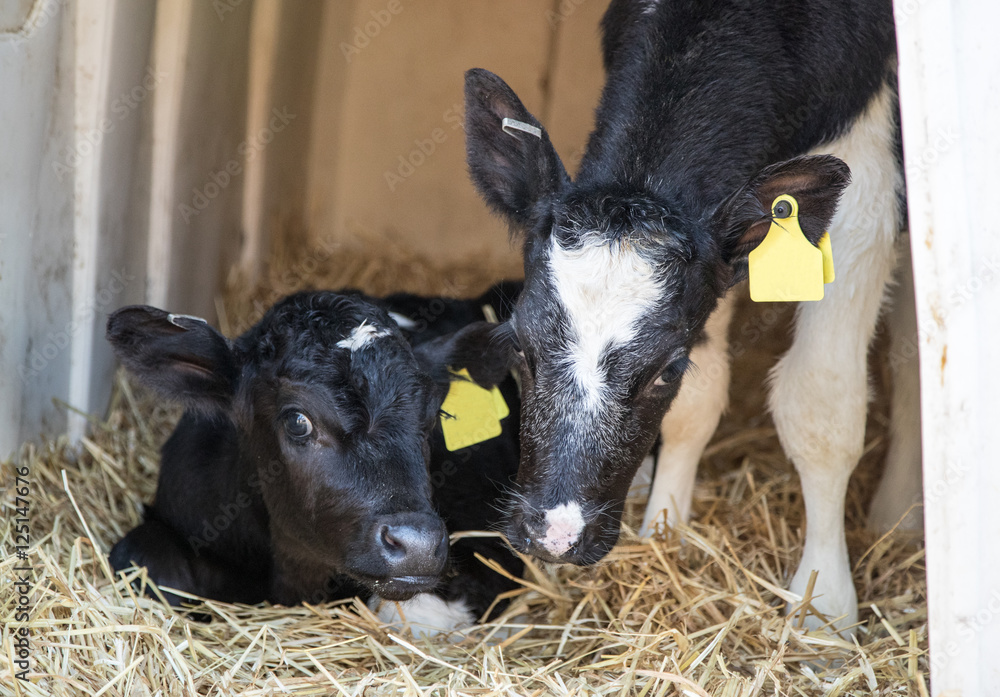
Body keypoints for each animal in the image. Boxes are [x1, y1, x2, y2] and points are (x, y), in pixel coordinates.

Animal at [460, 0, 916, 632]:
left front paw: (822, 606)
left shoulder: (868, 184)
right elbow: (697, 404)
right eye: (520, 349)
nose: (555, 535)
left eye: (665, 370)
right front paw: (663, 533)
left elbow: (820, 405)